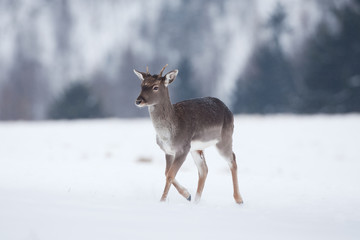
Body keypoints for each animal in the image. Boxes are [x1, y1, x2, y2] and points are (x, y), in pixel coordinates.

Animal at [134, 64, 243, 203]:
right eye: (142, 85)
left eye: (155, 87)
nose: (138, 100)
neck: (168, 135)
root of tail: (228, 109)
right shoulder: (168, 151)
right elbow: (167, 173)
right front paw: (187, 195)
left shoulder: (183, 148)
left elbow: (170, 174)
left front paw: (162, 200)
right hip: (197, 148)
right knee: (204, 169)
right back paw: (196, 201)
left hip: (225, 138)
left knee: (232, 159)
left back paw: (239, 199)